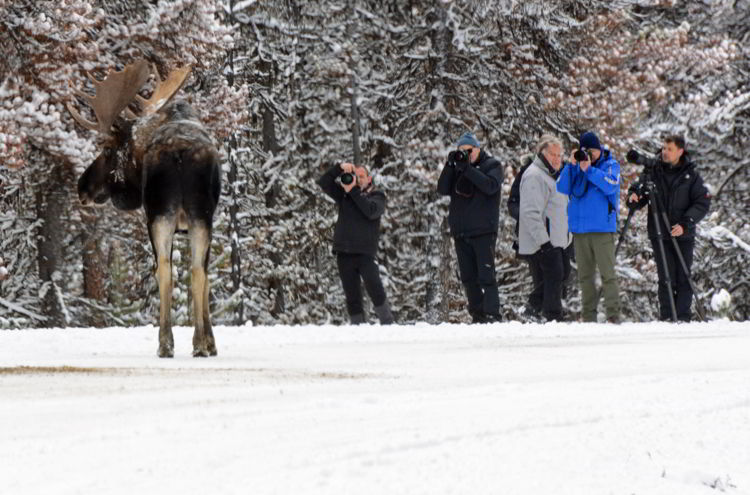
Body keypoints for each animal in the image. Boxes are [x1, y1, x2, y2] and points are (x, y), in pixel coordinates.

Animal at [68, 60, 222, 358]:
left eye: (107, 150)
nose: (82, 186)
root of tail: (179, 152)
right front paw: (209, 342)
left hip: (167, 214)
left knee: (171, 269)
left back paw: (172, 343)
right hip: (188, 214)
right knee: (190, 270)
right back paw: (193, 343)